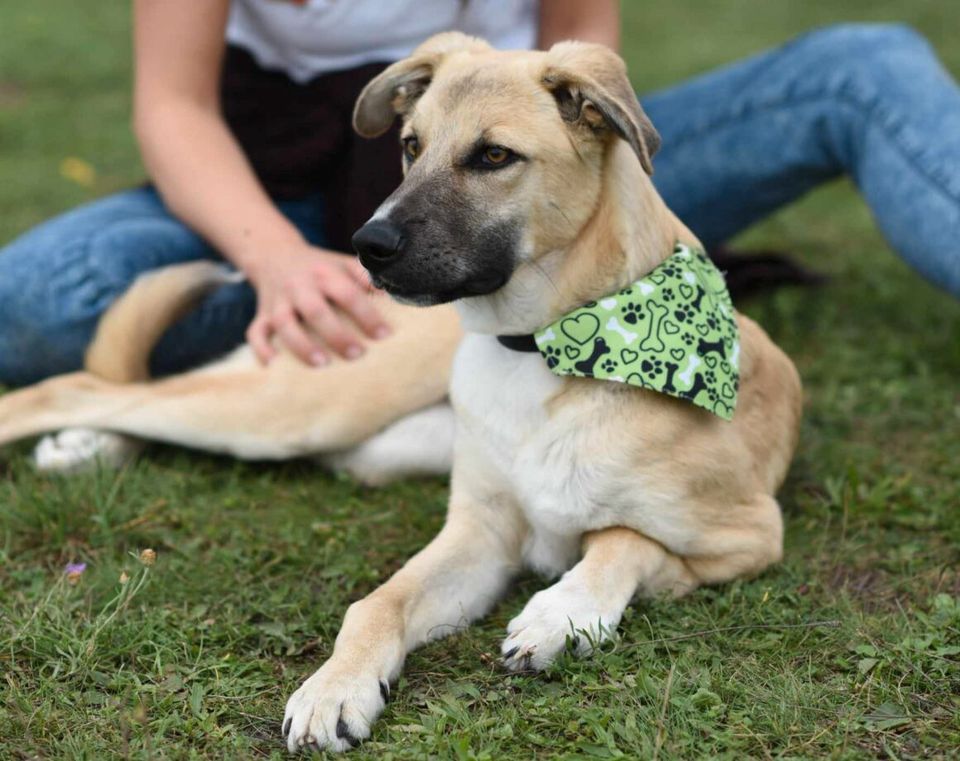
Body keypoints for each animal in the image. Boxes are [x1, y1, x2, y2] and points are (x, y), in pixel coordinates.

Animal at [280, 32, 804, 752]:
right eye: (411, 144)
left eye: (494, 155)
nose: (368, 246)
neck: (539, 352)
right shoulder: (480, 531)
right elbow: (380, 599)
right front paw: (335, 684)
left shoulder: (746, 533)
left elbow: (624, 538)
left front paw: (562, 614)